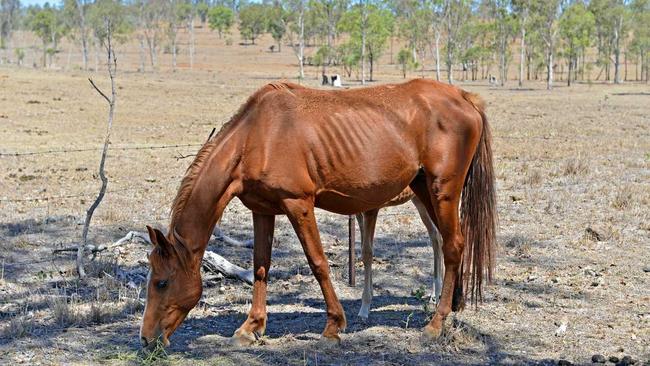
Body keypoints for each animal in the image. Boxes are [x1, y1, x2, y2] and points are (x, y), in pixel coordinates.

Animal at [139, 78, 494, 348]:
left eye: (161, 282)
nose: (146, 339)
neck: (257, 136)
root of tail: (464, 97)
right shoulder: (262, 210)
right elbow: (260, 267)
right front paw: (251, 327)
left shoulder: (299, 204)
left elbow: (318, 263)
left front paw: (334, 326)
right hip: (425, 190)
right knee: (451, 242)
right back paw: (453, 304)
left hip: (443, 191)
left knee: (453, 246)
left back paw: (436, 323)